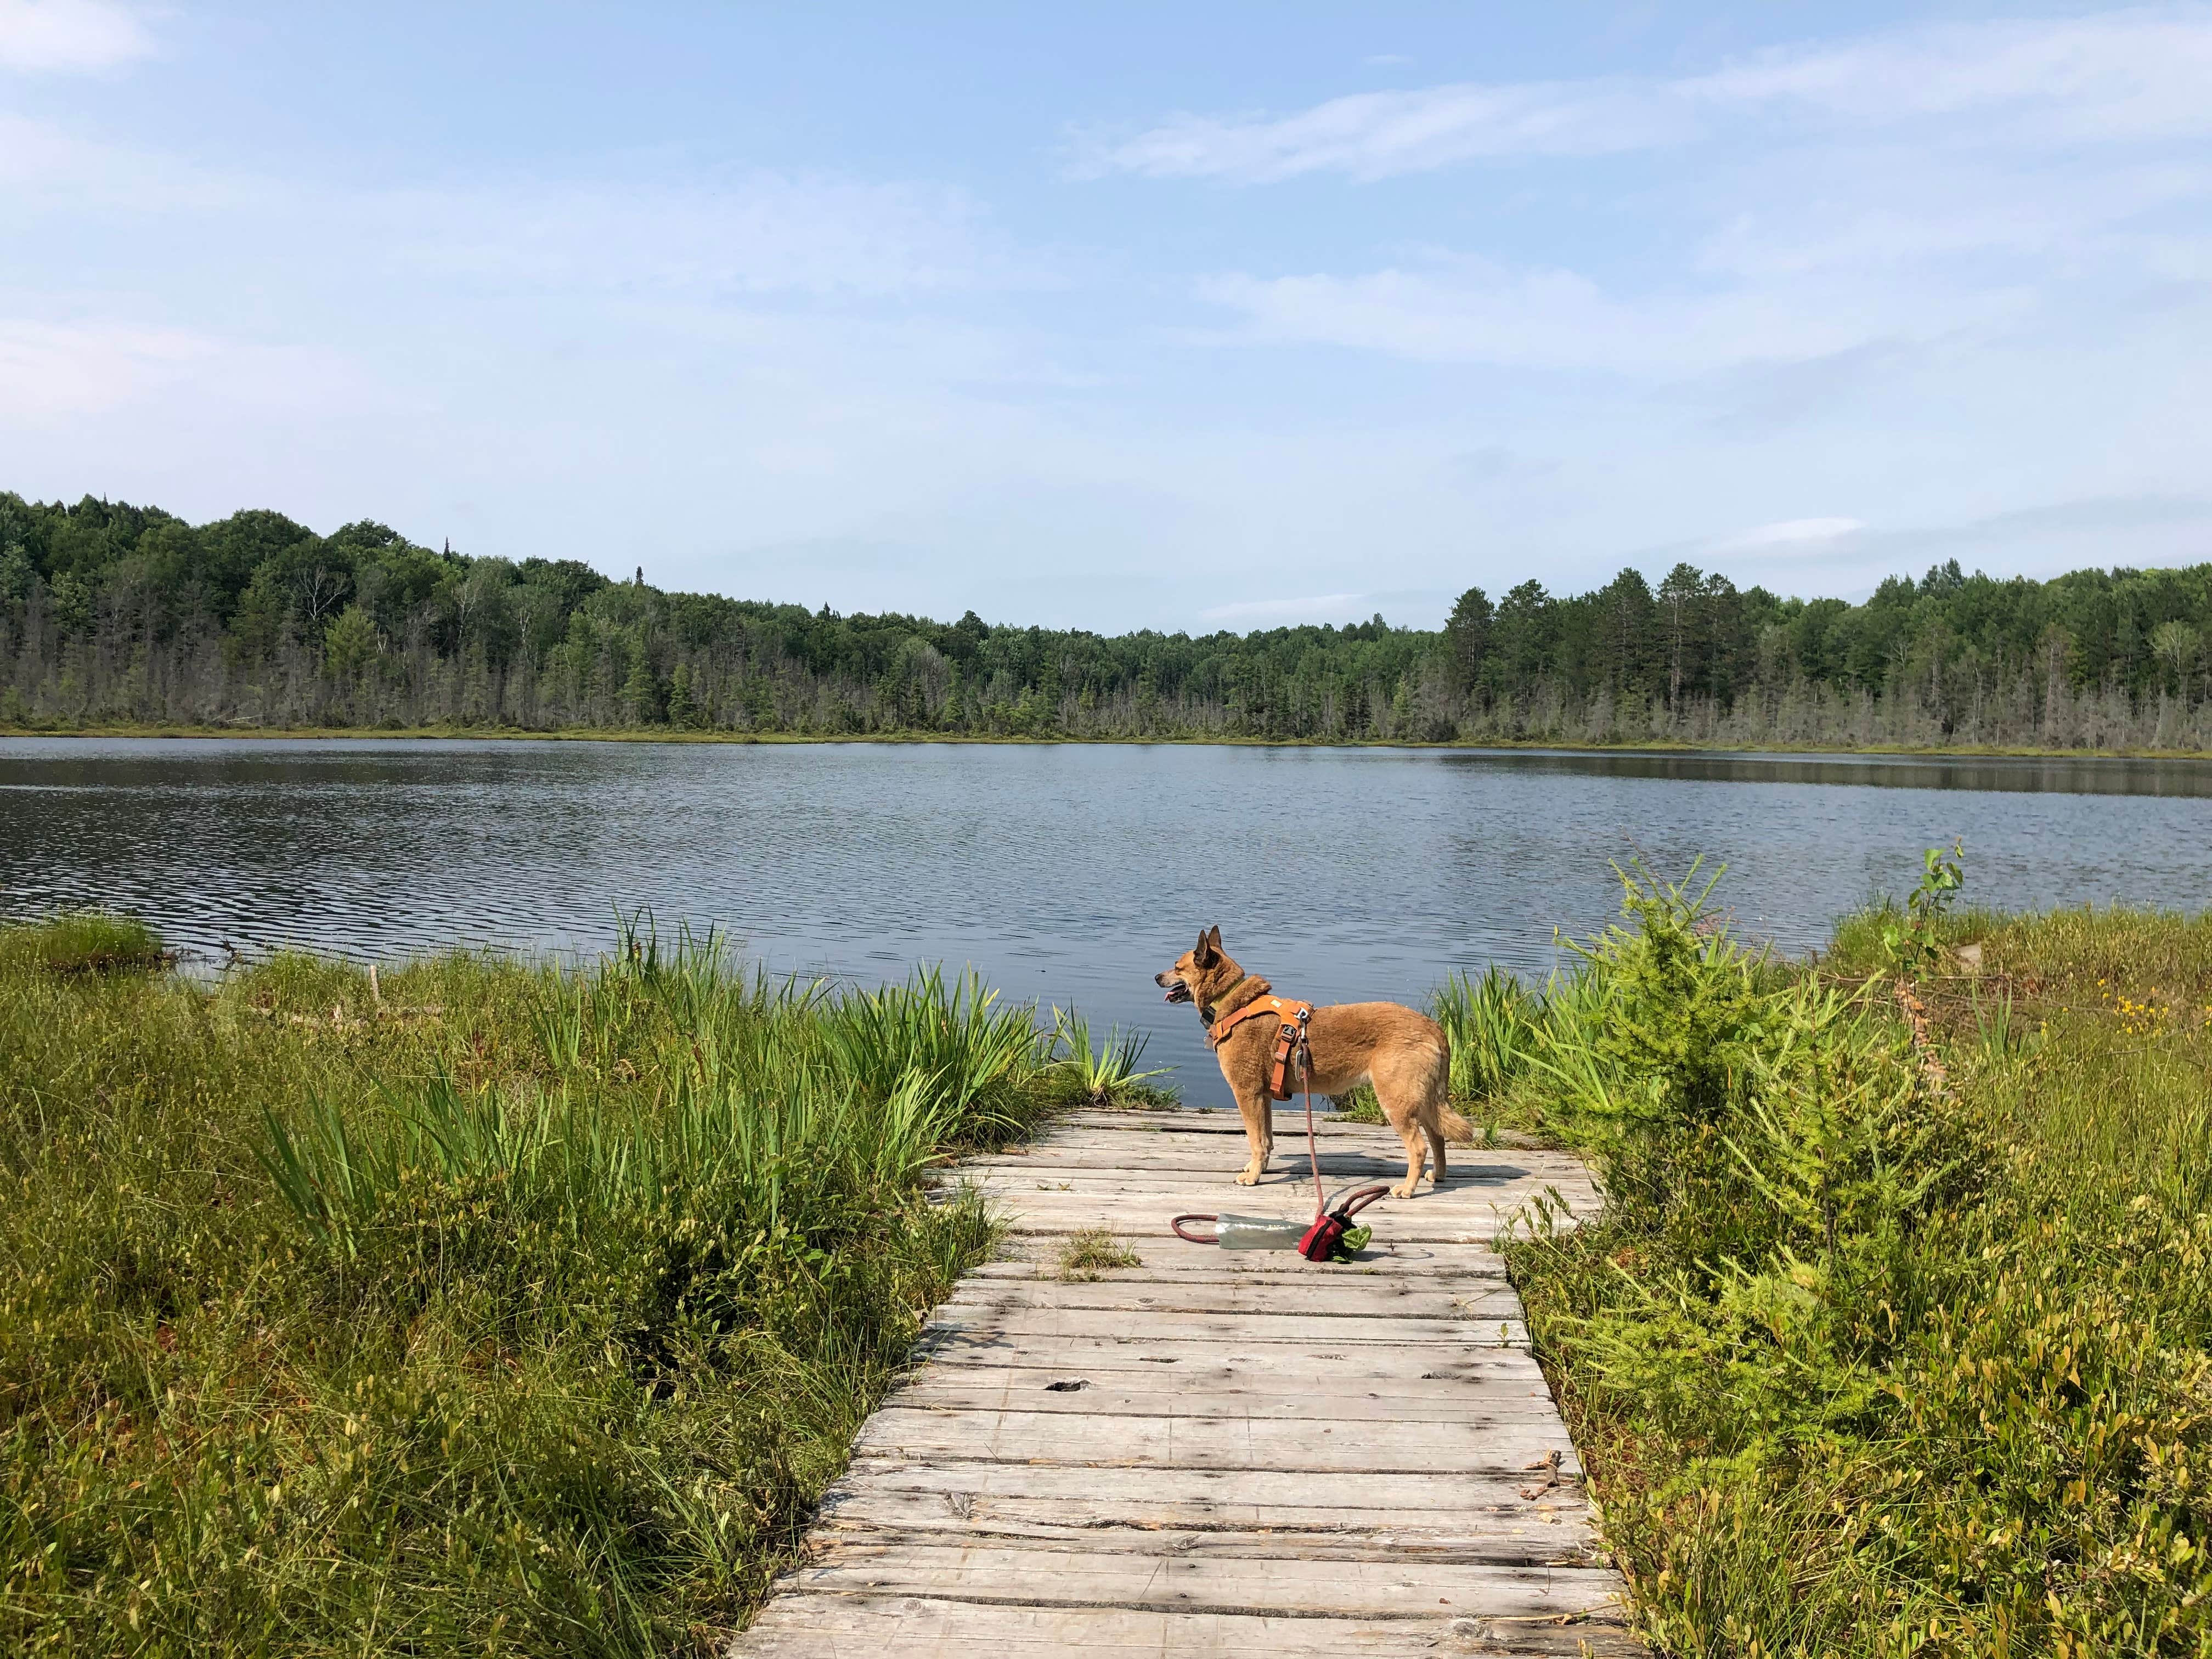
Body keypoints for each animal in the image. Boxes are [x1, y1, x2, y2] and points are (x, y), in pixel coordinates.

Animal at [1150, 929, 1477, 1203]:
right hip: (1422, 1097)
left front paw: (1253, 1177)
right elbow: (1267, 1140)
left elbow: (1255, 1140)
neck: (1231, 1000)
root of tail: (1434, 1027)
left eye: (1177, 967)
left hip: (1397, 1100)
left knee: (1419, 1146)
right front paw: (1260, 1168)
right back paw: (1439, 1175)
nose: (1155, 977)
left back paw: (1407, 1189)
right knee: (1437, 1136)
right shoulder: (1264, 1097)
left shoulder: (1247, 1094)